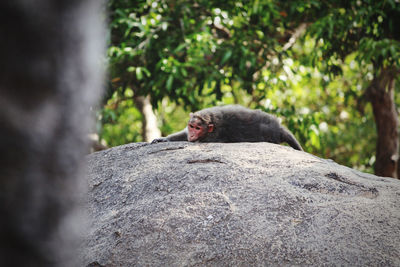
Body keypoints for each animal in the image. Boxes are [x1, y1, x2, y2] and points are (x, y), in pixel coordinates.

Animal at [152, 104, 304, 151]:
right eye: (191, 126)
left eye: (198, 128)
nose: (193, 134)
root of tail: (278, 127)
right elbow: (183, 135)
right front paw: (164, 139)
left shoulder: (214, 135)